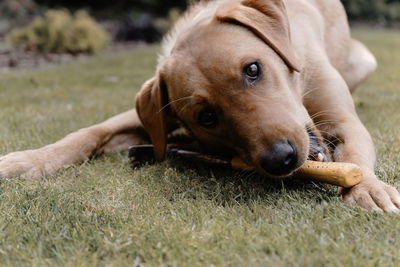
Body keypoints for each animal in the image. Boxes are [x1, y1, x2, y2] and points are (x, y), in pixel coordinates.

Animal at [0, 0, 400, 214]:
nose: (281, 159)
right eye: (206, 116)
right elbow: (88, 132)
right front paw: (28, 161)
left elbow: (357, 155)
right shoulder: (151, 115)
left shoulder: (342, 119)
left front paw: (367, 188)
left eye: (253, 69)